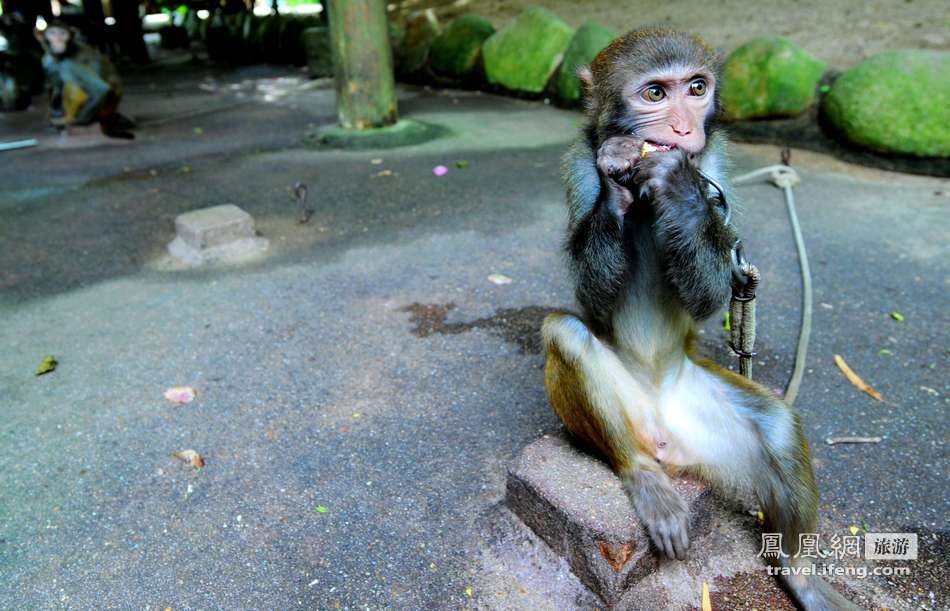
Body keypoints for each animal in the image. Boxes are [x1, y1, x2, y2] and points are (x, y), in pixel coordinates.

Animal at [544, 28, 864, 611]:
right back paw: (645, 478)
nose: (682, 130)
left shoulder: (714, 167)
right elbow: (591, 300)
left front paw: (679, 187)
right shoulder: (577, 164)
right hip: (627, 417)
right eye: (654, 93)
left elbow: (711, 292)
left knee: (778, 423)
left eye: (696, 88)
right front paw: (618, 170)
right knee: (567, 333)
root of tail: (665, 431)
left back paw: (799, 573)